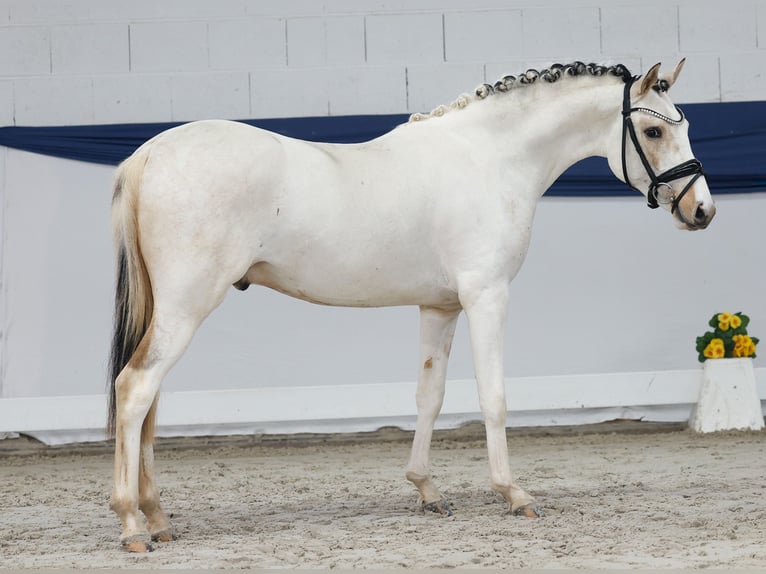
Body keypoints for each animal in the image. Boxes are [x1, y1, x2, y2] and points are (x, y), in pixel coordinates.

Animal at [107, 60, 715, 552]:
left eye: (684, 124)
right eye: (654, 129)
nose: (702, 211)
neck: (487, 159)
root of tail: (152, 151)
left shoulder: (440, 307)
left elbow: (430, 397)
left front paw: (427, 491)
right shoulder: (487, 296)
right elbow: (494, 398)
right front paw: (513, 494)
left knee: (148, 402)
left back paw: (158, 518)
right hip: (187, 306)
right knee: (135, 390)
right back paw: (133, 525)